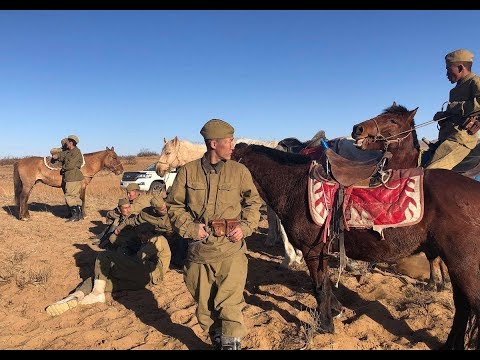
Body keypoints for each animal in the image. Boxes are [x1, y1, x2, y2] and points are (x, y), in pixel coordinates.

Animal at [232, 143, 480, 348]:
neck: (294, 187)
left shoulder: (313, 252)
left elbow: (319, 287)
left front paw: (325, 325)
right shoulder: (321, 253)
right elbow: (326, 284)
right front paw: (336, 310)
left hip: (463, 265)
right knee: (462, 308)